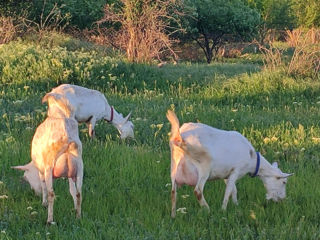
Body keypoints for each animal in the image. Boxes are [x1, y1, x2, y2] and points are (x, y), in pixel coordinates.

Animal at [12, 96, 83, 224]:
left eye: (27, 177)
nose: (35, 193)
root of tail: (67, 137)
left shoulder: (42, 171)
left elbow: (43, 185)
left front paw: (43, 203)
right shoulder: (70, 174)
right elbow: (72, 190)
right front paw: (75, 209)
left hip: (49, 166)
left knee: (51, 193)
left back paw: (49, 220)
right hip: (80, 167)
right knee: (79, 192)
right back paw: (78, 217)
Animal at [166, 110, 294, 218]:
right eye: (284, 182)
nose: (282, 199)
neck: (252, 159)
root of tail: (179, 137)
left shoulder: (226, 174)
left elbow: (233, 190)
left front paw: (236, 205)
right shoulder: (236, 170)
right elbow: (228, 191)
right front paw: (223, 210)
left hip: (174, 166)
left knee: (173, 192)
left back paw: (173, 215)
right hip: (204, 166)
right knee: (197, 191)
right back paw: (208, 210)